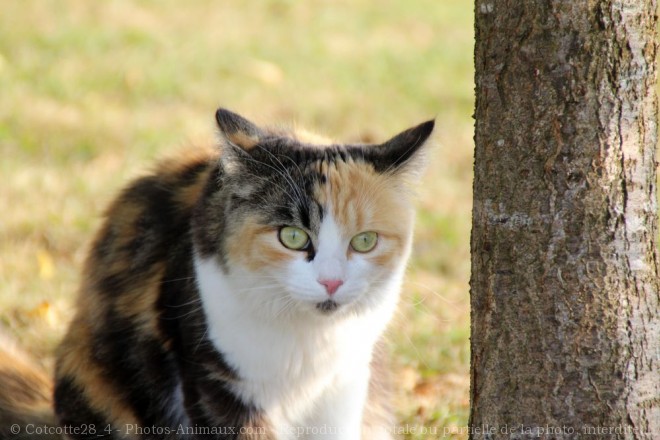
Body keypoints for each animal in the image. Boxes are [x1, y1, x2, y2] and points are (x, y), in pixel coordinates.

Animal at [51, 108, 434, 438]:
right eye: (292, 237)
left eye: (365, 240)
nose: (331, 282)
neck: (307, 343)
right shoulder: (217, 381)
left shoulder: (344, 383)